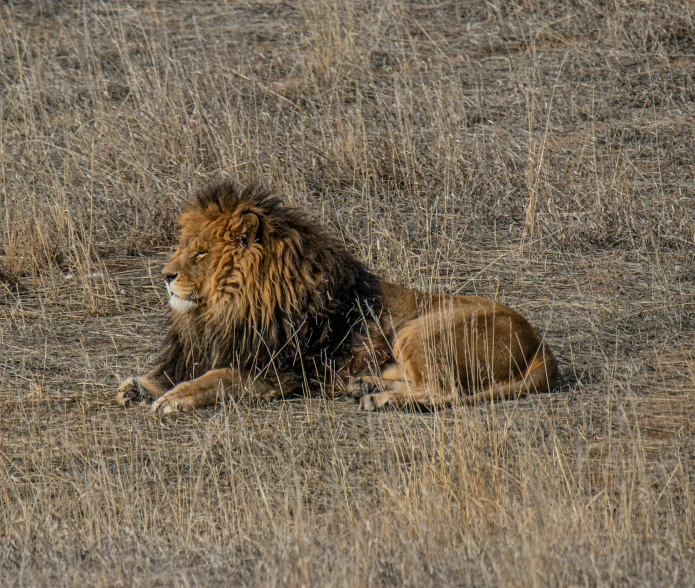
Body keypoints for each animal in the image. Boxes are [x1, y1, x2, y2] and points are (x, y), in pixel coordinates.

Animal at [115, 180, 560, 414]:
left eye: (201, 254)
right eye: (183, 247)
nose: (166, 276)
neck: (225, 307)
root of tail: (541, 346)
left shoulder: (278, 372)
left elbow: (216, 378)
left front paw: (174, 397)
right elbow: (175, 372)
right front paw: (138, 386)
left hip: (418, 329)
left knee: (444, 392)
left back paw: (377, 400)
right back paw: (362, 386)